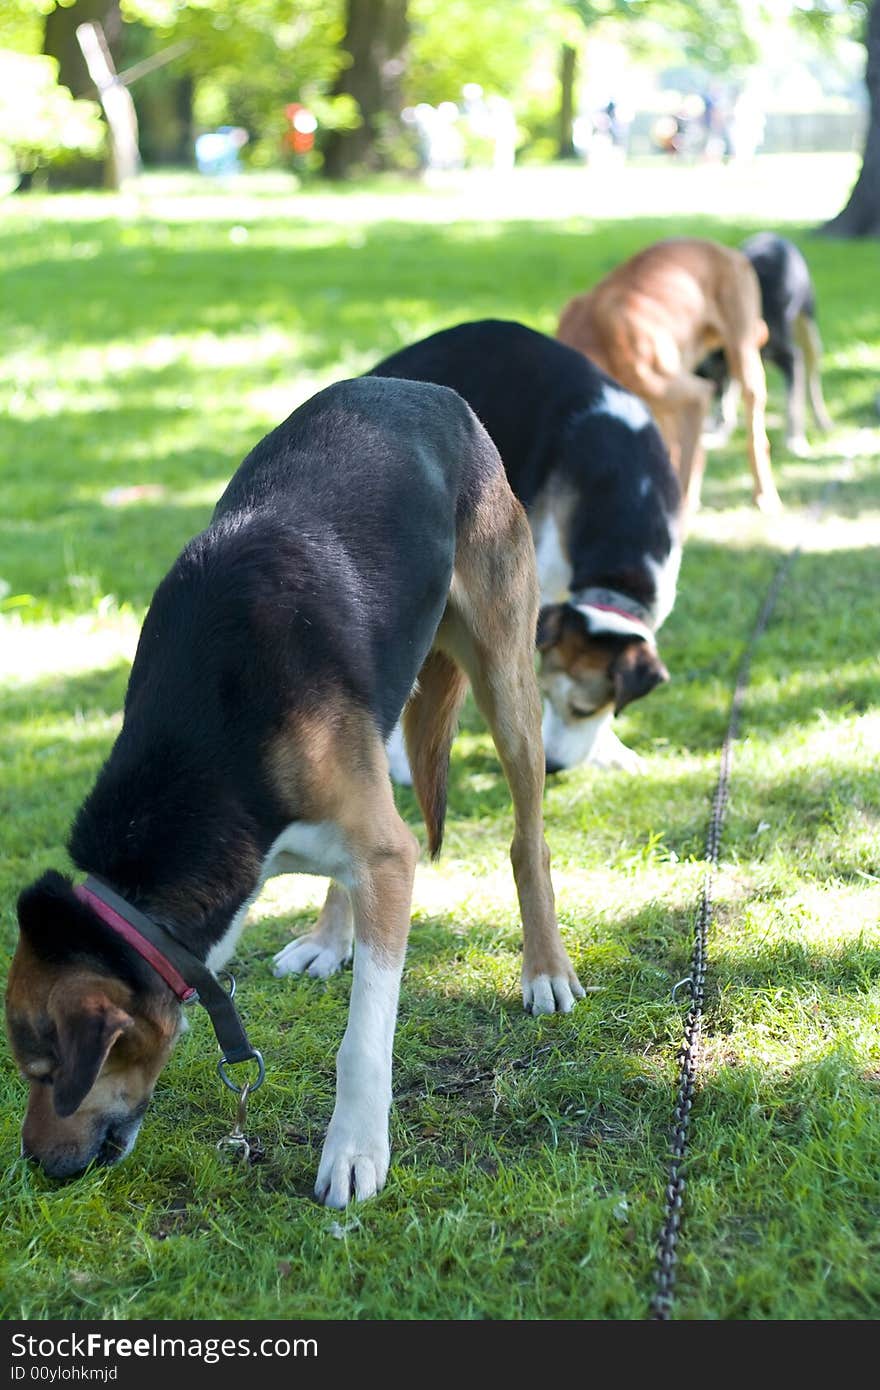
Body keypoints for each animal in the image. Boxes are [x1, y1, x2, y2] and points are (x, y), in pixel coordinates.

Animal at [8, 378, 583, 1206]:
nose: (35, 1167)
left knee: (525, 839)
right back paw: (328, 938)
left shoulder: (388, 855)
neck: (209, 750)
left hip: (506, 679)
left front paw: (354, 1150)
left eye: (48, 1072)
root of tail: (426, 389)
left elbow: (364, 1038)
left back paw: (546, 971)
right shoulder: (365, 842)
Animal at [700, 233, 828, 455]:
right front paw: (719, 432)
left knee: (812, 375)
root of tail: (773, 235)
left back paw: (821, 419)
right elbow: (728, 401)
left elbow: (793, 403)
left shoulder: (790, 358)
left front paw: (795, 441)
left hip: (808, 326)